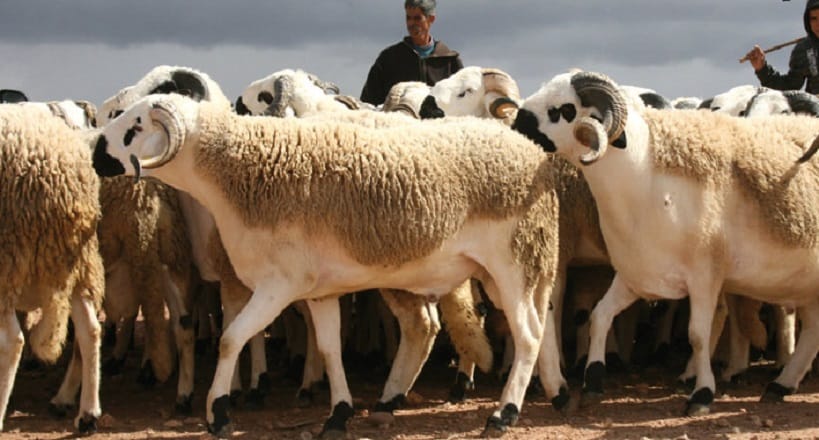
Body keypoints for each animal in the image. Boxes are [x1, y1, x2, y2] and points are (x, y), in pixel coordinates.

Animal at [90, 92, 570, 438]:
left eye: (135, 127)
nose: (95, 152)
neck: (239, 173)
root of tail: (535, 157)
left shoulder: (279, 285)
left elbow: (230, 340)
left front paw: (218, 414)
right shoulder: (318, 289)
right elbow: (328, 348)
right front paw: (338, 414)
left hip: (512, 260)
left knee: (526, 335)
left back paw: (504, 414)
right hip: (515, 265)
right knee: (530, 325)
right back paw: (551, 393)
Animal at [513, 69, 819, 416]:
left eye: (564, 109)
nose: (515, 122)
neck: (644, 178)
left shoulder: (705, 277)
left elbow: (697, 335)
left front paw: (701, 395)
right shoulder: (637, 273)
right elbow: (599, 316)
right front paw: (593, 380)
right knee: (813, 330)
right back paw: (782, 384)